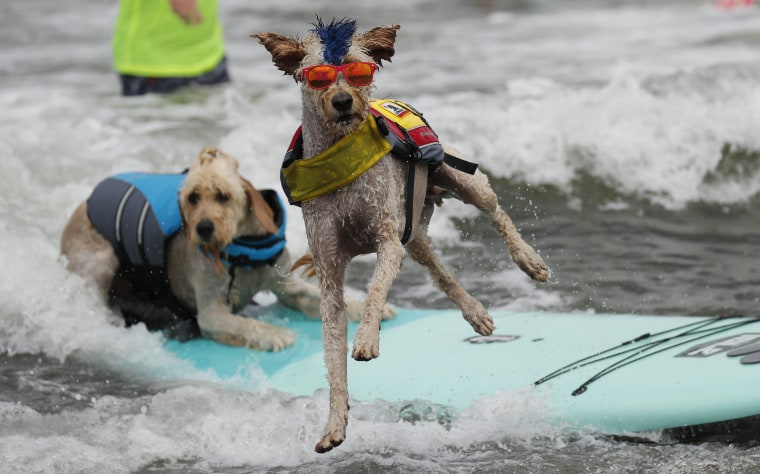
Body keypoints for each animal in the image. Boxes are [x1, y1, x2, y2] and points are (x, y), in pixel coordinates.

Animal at [59, 150, 392, 350]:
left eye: (222, 195)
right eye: (192, 197)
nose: (204, 228)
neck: (245, 250)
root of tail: (83, 204)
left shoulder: (287, 285)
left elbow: (321, 297)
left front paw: (368, 309)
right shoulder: (212, 312)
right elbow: (246, 324)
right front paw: (274, 334)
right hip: (100, 259)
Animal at [258, 18, 548, 454]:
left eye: (358, 71)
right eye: (317, 76)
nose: (342, 102)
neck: (339, 156)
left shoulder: (387, 241)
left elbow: (375, 291)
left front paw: (367, 338)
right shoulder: (329, 269)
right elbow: (332, 352)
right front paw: (334, 424)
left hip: (459, 178)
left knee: (495, 211)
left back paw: (528, 259)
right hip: (415, 232)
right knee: (440, 271)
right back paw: (475, 313)